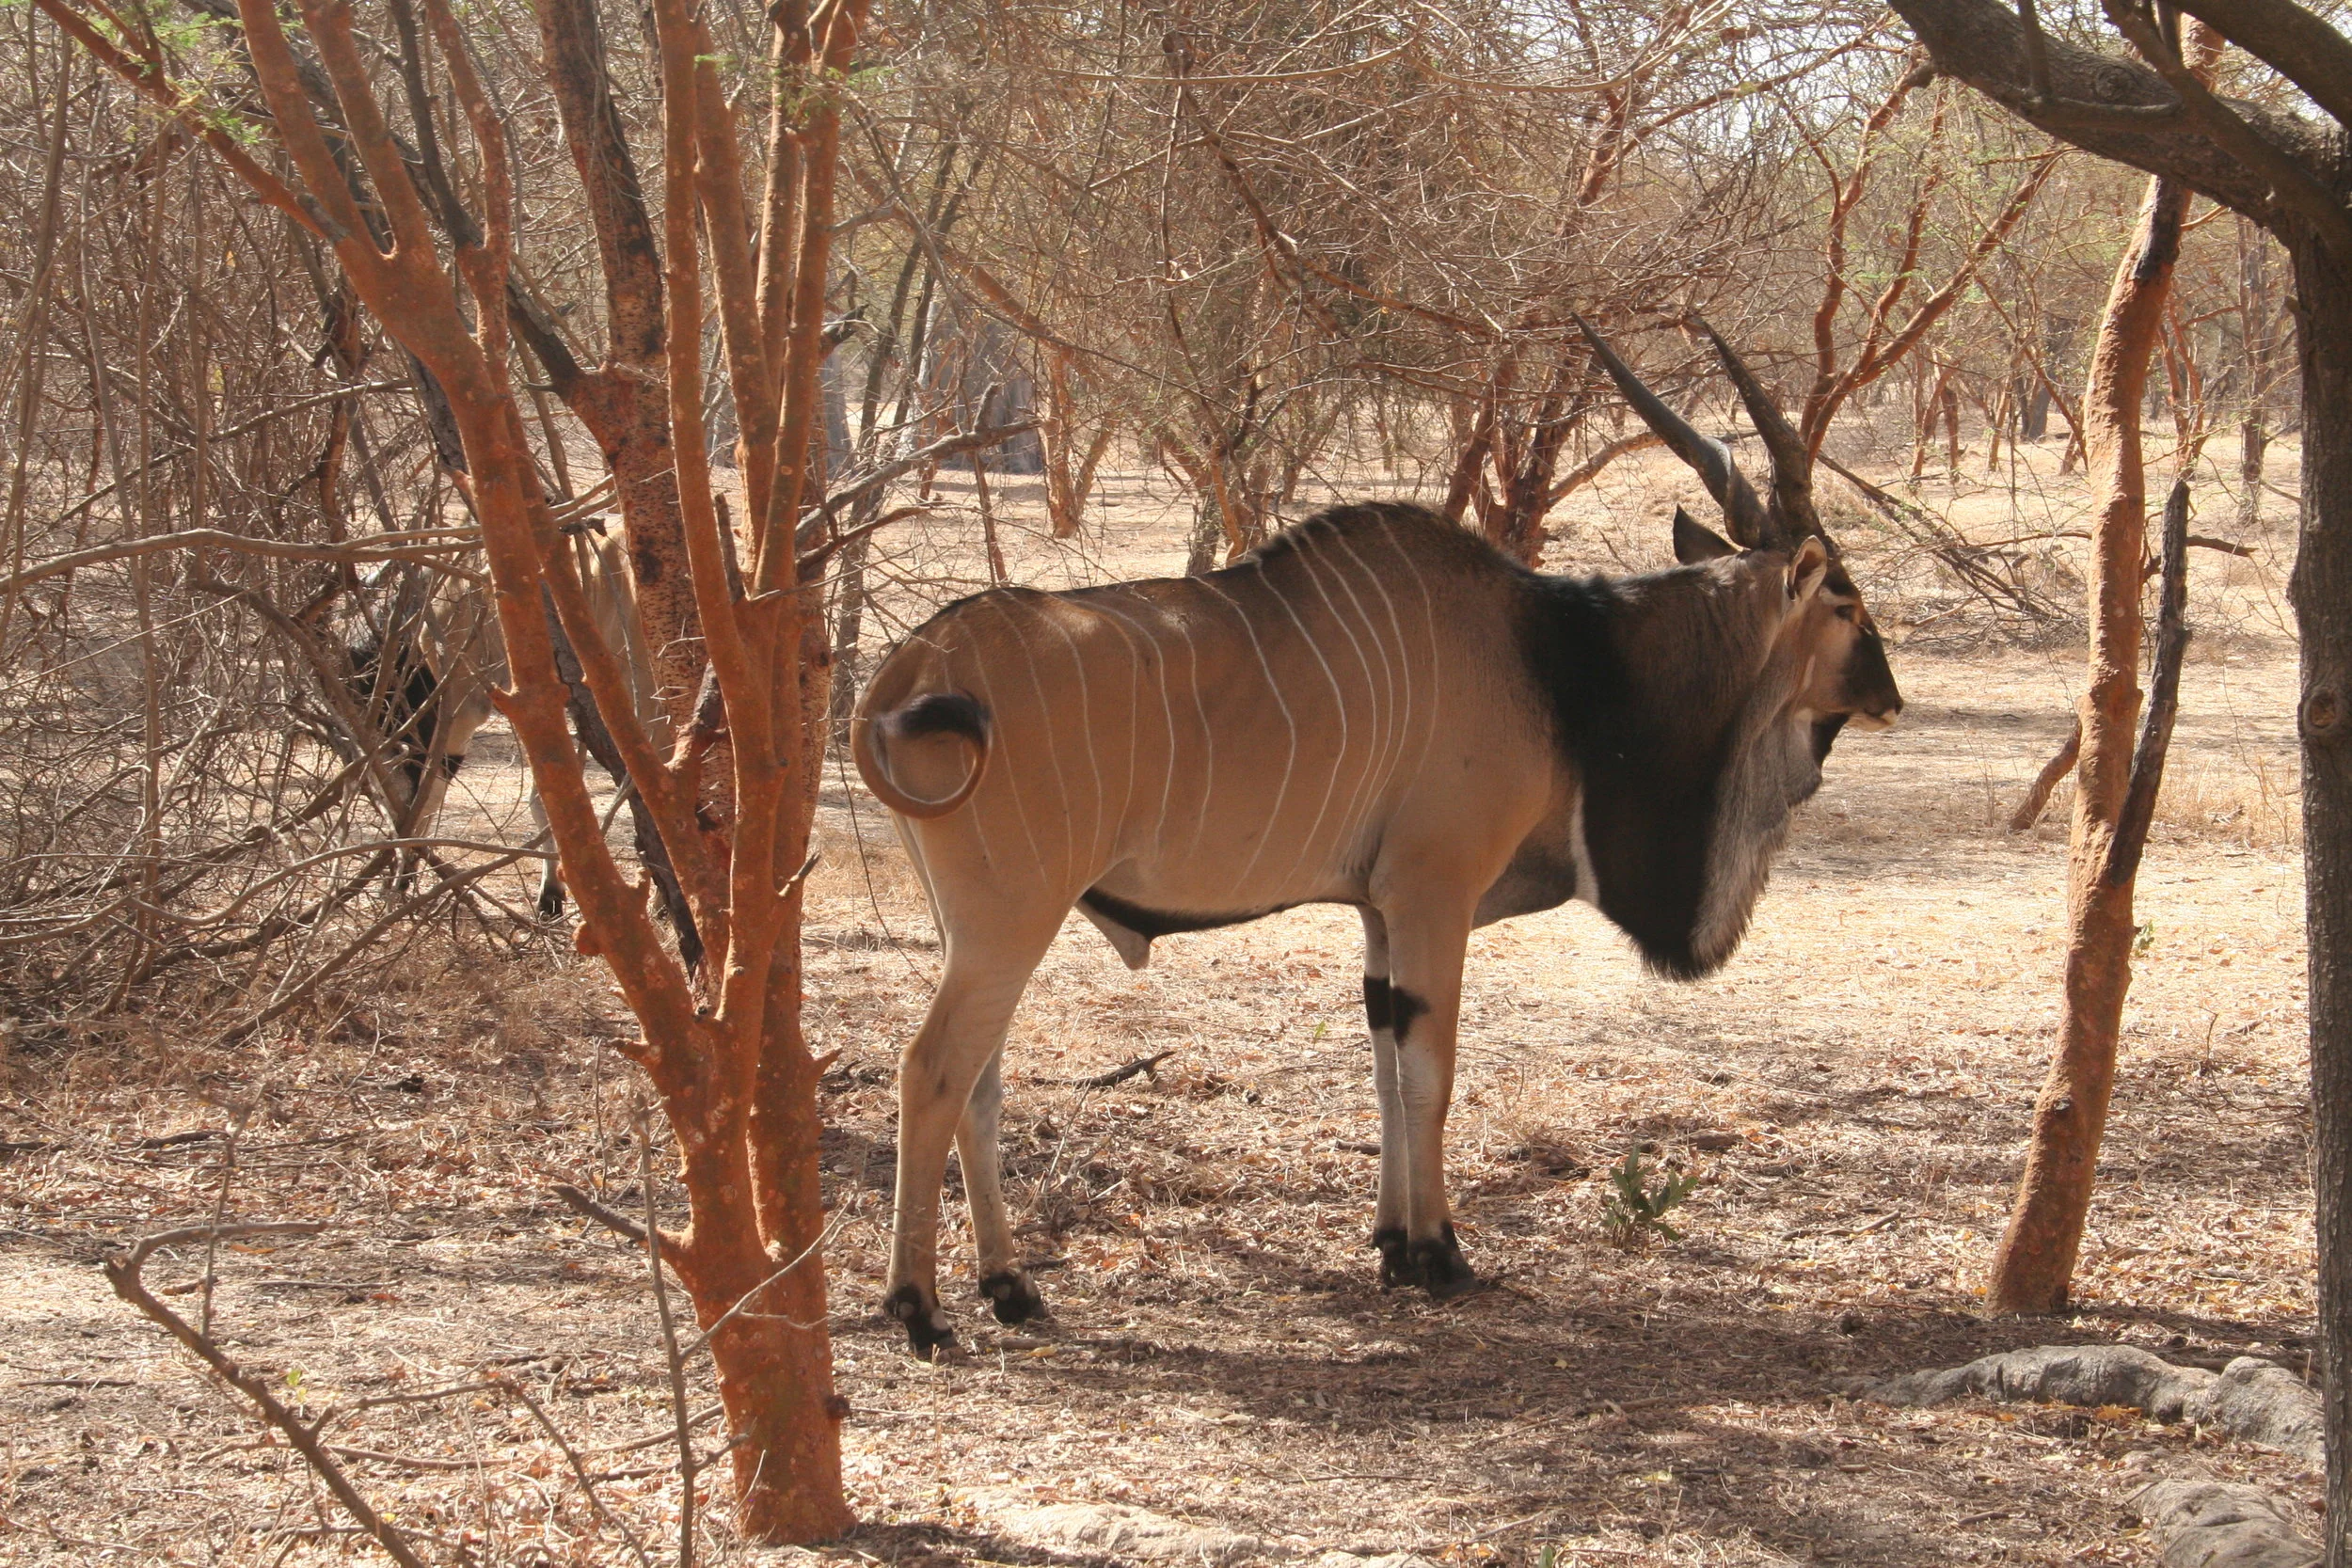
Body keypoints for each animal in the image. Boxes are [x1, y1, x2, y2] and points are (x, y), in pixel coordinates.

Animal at [853, 323, 1902, 1357]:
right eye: (1844, 601)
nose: (1890, 696)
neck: (1558, 657)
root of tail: (911, 666)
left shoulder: (1376, 916)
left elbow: (1387, 1070)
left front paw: (1394, 1244)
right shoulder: (1434, 894)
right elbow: (1430, 1074)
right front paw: (1440, 1254)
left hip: (982, 933)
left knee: (979, 1084)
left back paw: (1010, 1286)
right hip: (1010, 923)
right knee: (931, 1071)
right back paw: (920, 1307)